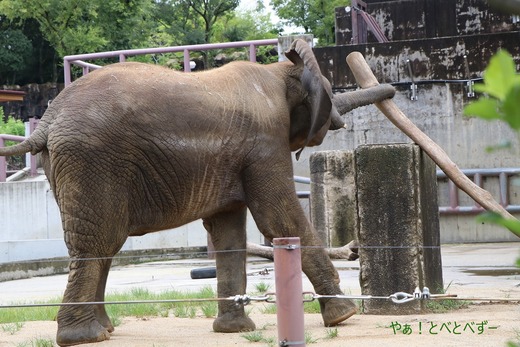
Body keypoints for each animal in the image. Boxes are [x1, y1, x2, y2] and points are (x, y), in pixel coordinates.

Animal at [0, 39, 394, 346]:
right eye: (330, 98)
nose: (391, 90)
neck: (279, 71)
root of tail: (48, 119)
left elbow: (228, 231)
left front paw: (235, 331)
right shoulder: (266, 142)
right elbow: (280, 219)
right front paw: (344, 316)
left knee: (102, 243)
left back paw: (104, 331)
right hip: (91, 159)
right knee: (99, 241)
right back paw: (86, 338)